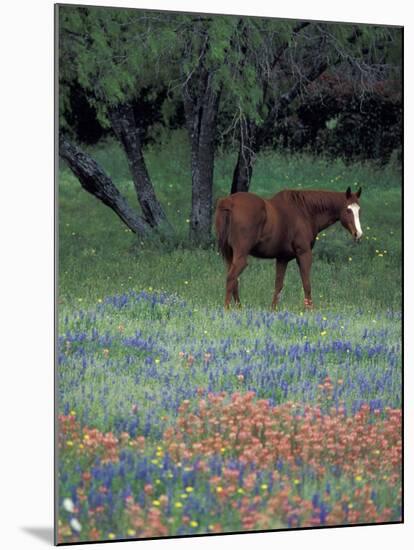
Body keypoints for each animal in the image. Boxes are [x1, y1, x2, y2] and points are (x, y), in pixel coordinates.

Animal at [213, 188, 362, 310]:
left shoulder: (282, 258)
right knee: (231, 278)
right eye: (348, 210)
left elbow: (278, 285)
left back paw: (239, 308)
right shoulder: (304, 254)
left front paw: (273, 310)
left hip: (230, 255)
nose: (358, 234)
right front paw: (310, 310)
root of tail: (228, 202)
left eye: (359, 210)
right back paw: (227, 309)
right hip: (241, 257)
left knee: (234, 281)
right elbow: (306, 284)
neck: (305, 211)